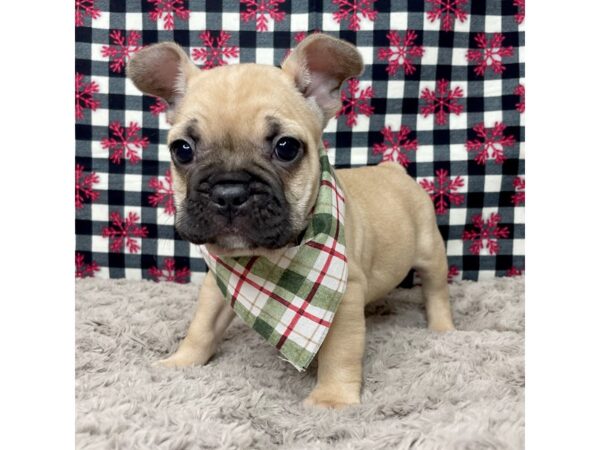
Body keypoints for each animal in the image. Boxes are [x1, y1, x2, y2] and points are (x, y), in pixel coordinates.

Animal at [127, 34, 454, 408]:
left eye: (286, 147)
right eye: (182, 150)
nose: (229, 191)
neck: (265, 260)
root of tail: (393, 168)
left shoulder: (343, 296)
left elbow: (340, 352)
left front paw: (331, 399)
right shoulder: (218, 285)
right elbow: (202, 326)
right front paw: (182, 361)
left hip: (430, 251)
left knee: (436, 291)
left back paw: (442, 329)